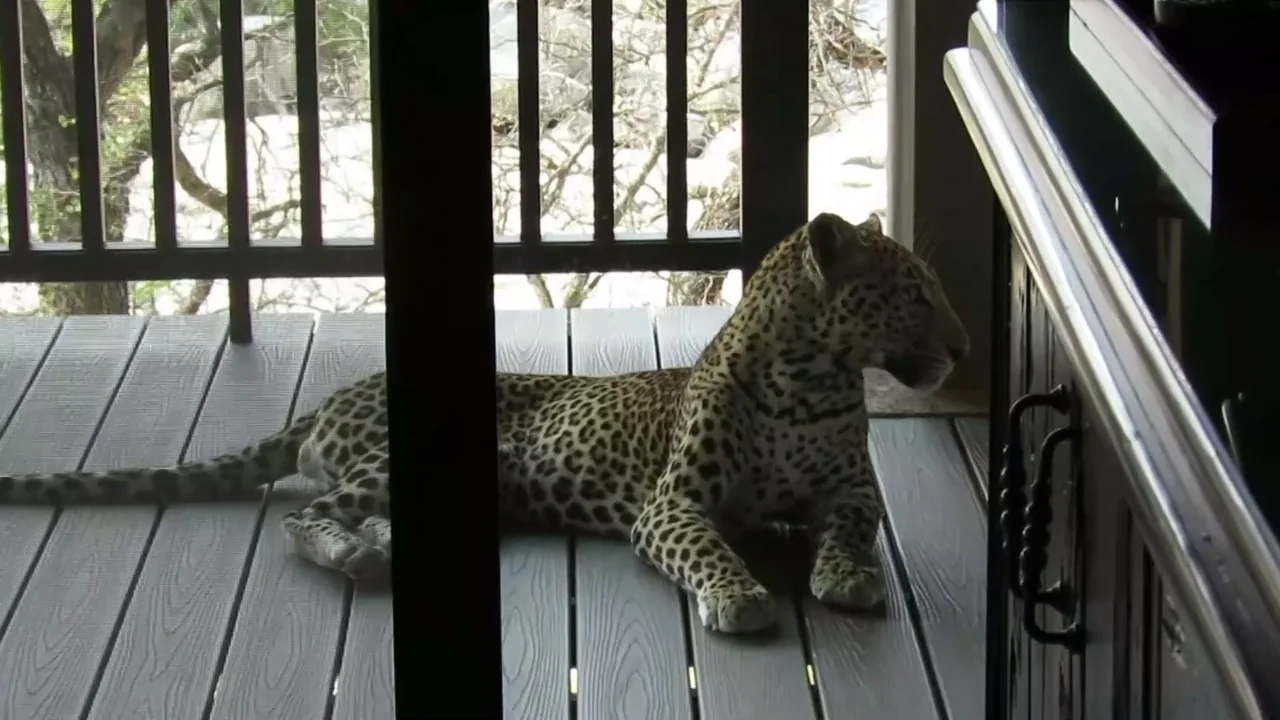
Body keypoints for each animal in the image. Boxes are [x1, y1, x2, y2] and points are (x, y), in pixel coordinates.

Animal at [0, 211, 968, 635]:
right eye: (916, 295)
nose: (962, 348)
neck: (812, 378)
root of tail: (333, 395)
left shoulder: (851, 492)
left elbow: (850, 532)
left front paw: (847, 577)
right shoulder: (674, 505)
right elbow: (708, 547)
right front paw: (736, 595)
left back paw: (386, 548)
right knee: (305, 514)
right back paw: (355, 555)